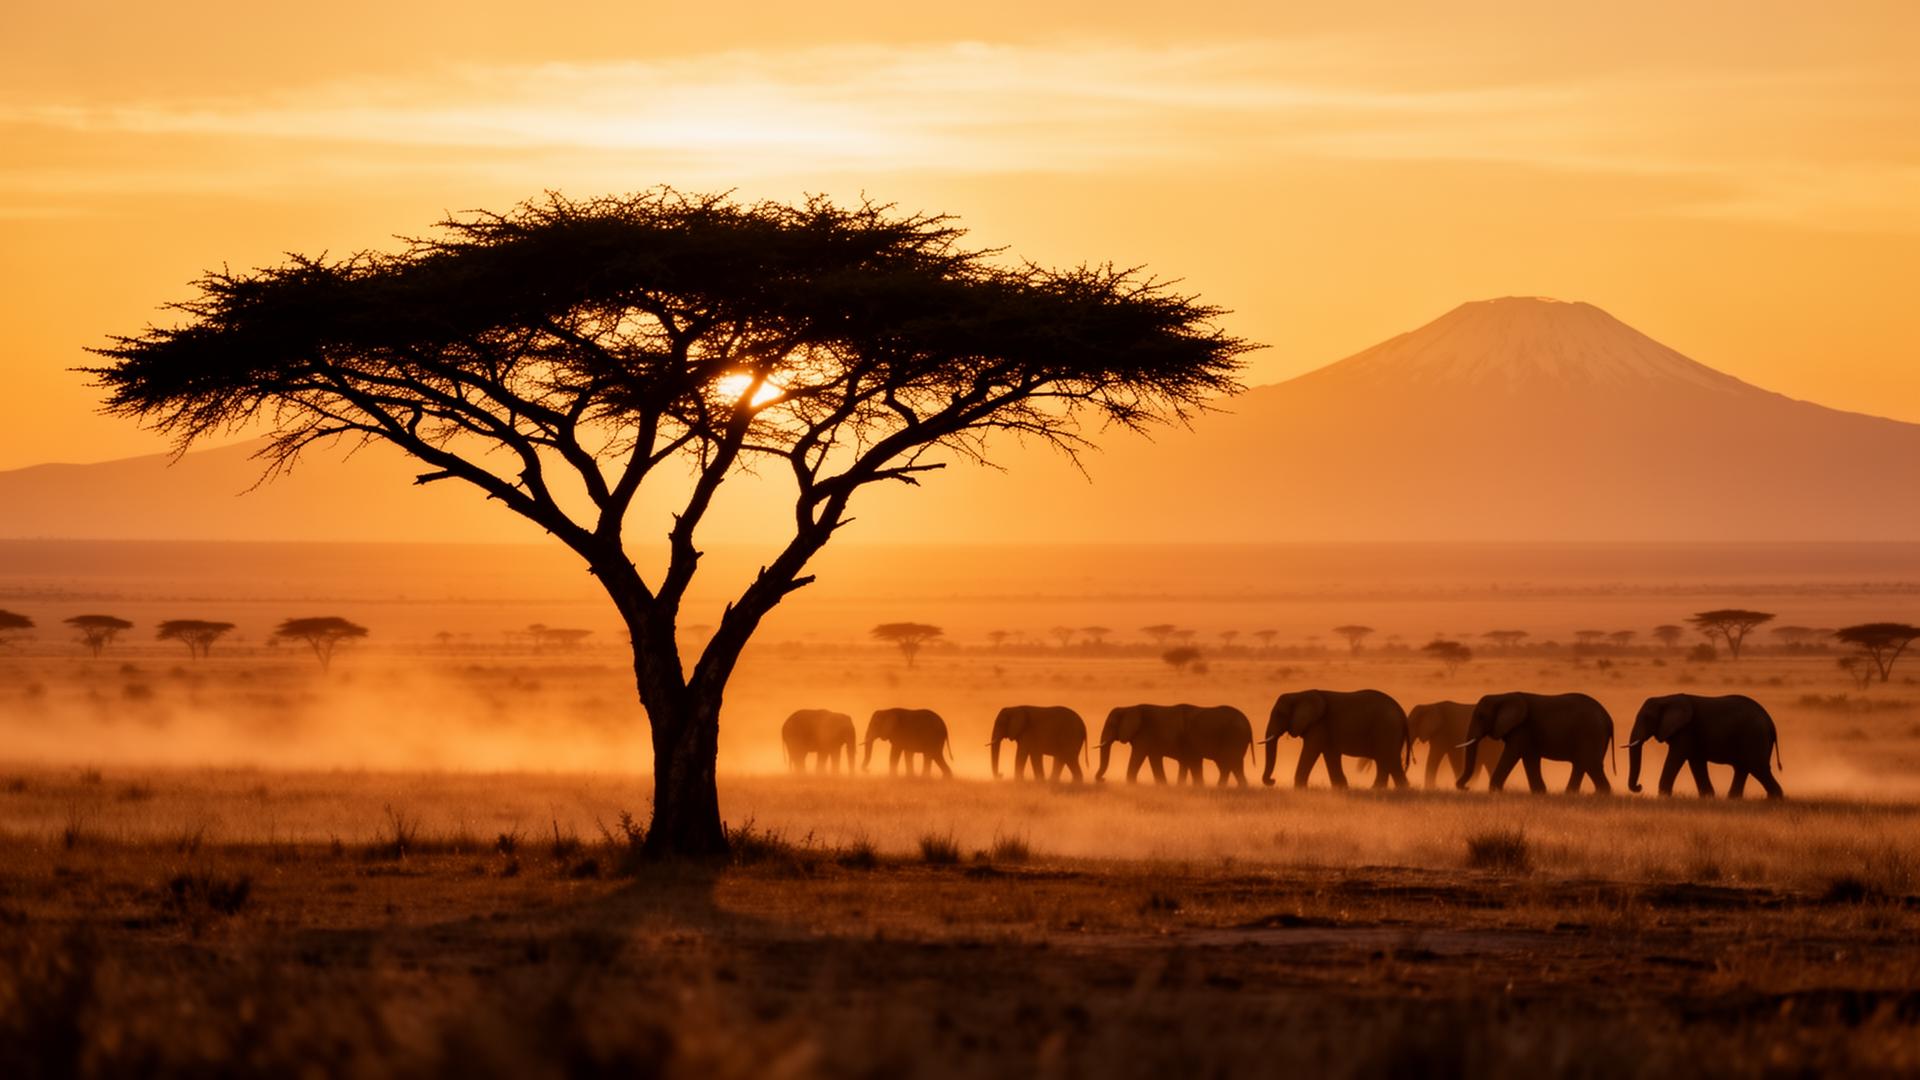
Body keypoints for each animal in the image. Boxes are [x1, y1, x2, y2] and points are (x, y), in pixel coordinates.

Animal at [1095, 704, 1254, 786]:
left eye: (1111, 725)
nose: (1103, 779)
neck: (1129, 707)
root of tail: (1248, 724)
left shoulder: (1145, 734)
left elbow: (1138, 755)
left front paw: (1132, 785)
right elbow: (1154, 759)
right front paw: (1163, 786)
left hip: (1233, 737)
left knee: (1230, 764)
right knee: (1232, 765)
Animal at [1262, 689, 1411, 789]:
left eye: (1280, 714)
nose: (1272, 781)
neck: (1299, 694)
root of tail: (1402, 713)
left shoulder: (1319, 724)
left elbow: (1311, 750)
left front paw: (1300, 790)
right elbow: (1330, 754)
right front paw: (1342, 789)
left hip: (1387, 729)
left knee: (1390, 761)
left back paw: (1399, 791)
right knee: (1384, 761)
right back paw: (1380, 790)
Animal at [1460, 692, 1614, 794]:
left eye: (1481, 716)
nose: (1466, 788)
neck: (1501, 696)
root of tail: (1608, 718)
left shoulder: (1521, 728)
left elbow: (1512, 753)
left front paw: (1495, 791)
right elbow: (1530, 758)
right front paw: (1540, 793)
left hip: (1591, 733)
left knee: (1590, 764)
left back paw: (1600, 795)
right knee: (1582, 764)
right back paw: (1572, 795)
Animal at [1626, 694, 1784, 799]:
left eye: (1647, 718)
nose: (1639, 787)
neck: (1665, 698)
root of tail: (1771, 722)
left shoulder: (1686, 730)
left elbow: (1676, 756)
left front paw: (1664, 798)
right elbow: (1696, 762)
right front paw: (1708, 797)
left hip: (1755, 736)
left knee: (1758, 768)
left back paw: (1774, 800)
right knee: (1743, 768)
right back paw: (1734, 800)